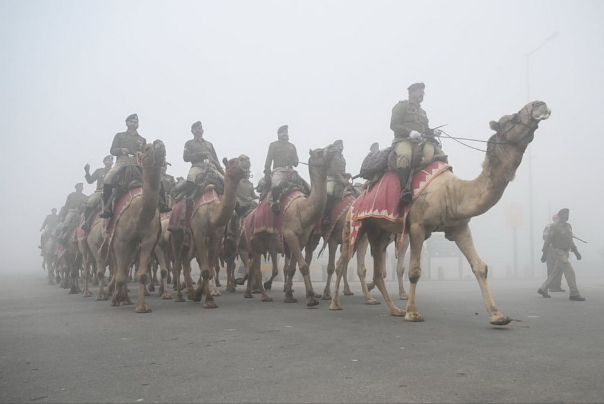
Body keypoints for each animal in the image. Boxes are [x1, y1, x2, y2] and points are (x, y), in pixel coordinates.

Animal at [102, 139, 166, 312]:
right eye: (147, 148)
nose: (159, 143)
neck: (139, 215)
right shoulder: (119, 241)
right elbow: (120, 274)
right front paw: (116, 299)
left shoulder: (148, 240)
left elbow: (141, 274)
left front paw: (142, 306)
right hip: (112, 240)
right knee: (118, 268)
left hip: (132, 246)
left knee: (124, 267)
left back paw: (126, 298)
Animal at [171, 155, 251, 306]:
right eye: (231, 162)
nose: (246, 159)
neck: (212, 214)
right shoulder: (199, 234)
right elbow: (206, 270)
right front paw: (208, 300)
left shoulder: (216, 237)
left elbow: (209, 268)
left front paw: (201, 295)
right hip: (177, 234)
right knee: (178, 264)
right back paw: (179, 296)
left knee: (186, 262)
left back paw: (190, 291)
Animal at [247, 145, 340, 306]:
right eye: (318, 152)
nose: (334, 147)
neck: (302, 210)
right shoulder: (290, 234)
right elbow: (303, 266)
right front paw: (311, 298)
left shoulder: (302, 239)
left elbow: (291, 268)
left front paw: (289, 296)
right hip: (253, 241)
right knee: (256, 268)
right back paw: (263, 295)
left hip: (263, 243)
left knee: (255, 266)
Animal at [330, 101, 552, 326]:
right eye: (511, 118)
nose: (539, 105)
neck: (452, 192)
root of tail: (356, 199)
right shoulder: (417, 227)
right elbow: (414, 271)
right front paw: (413, 313)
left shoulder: (460, 227)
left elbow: (480, 266)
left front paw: (498, 315)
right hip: (354, 226)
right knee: (342, 263)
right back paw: (335, 303)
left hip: (379, 232)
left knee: (376, 271)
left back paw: (394, 310)